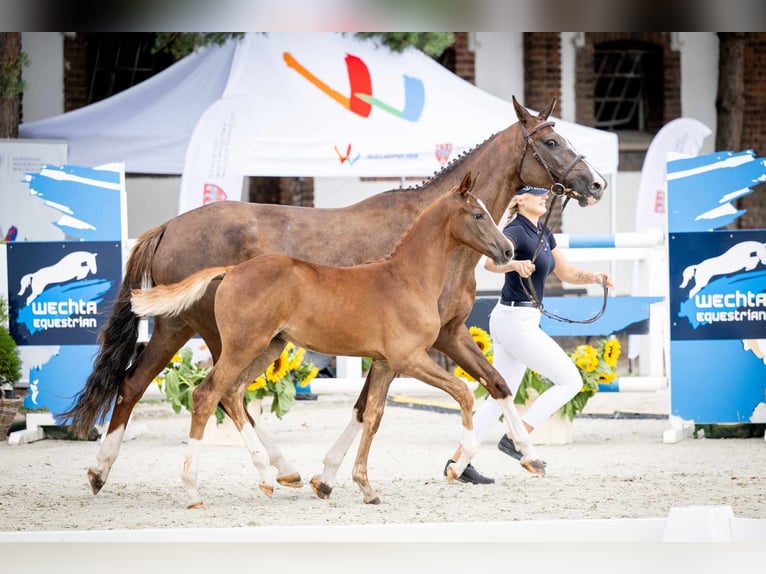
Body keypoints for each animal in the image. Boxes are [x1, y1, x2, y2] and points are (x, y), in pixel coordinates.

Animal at [133, 176, 516, 508]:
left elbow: (372, 415)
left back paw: (268, 478)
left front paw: (365, 487)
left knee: (232, 394)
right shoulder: (410, 359)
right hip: (242, 346)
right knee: (206, 395)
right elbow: (464, 393)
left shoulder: (384, 363)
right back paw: (194, 490)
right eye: (478, 214)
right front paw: (459, 464)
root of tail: (230, 271)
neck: (407, 278)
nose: (508, 250)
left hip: (268, 347)